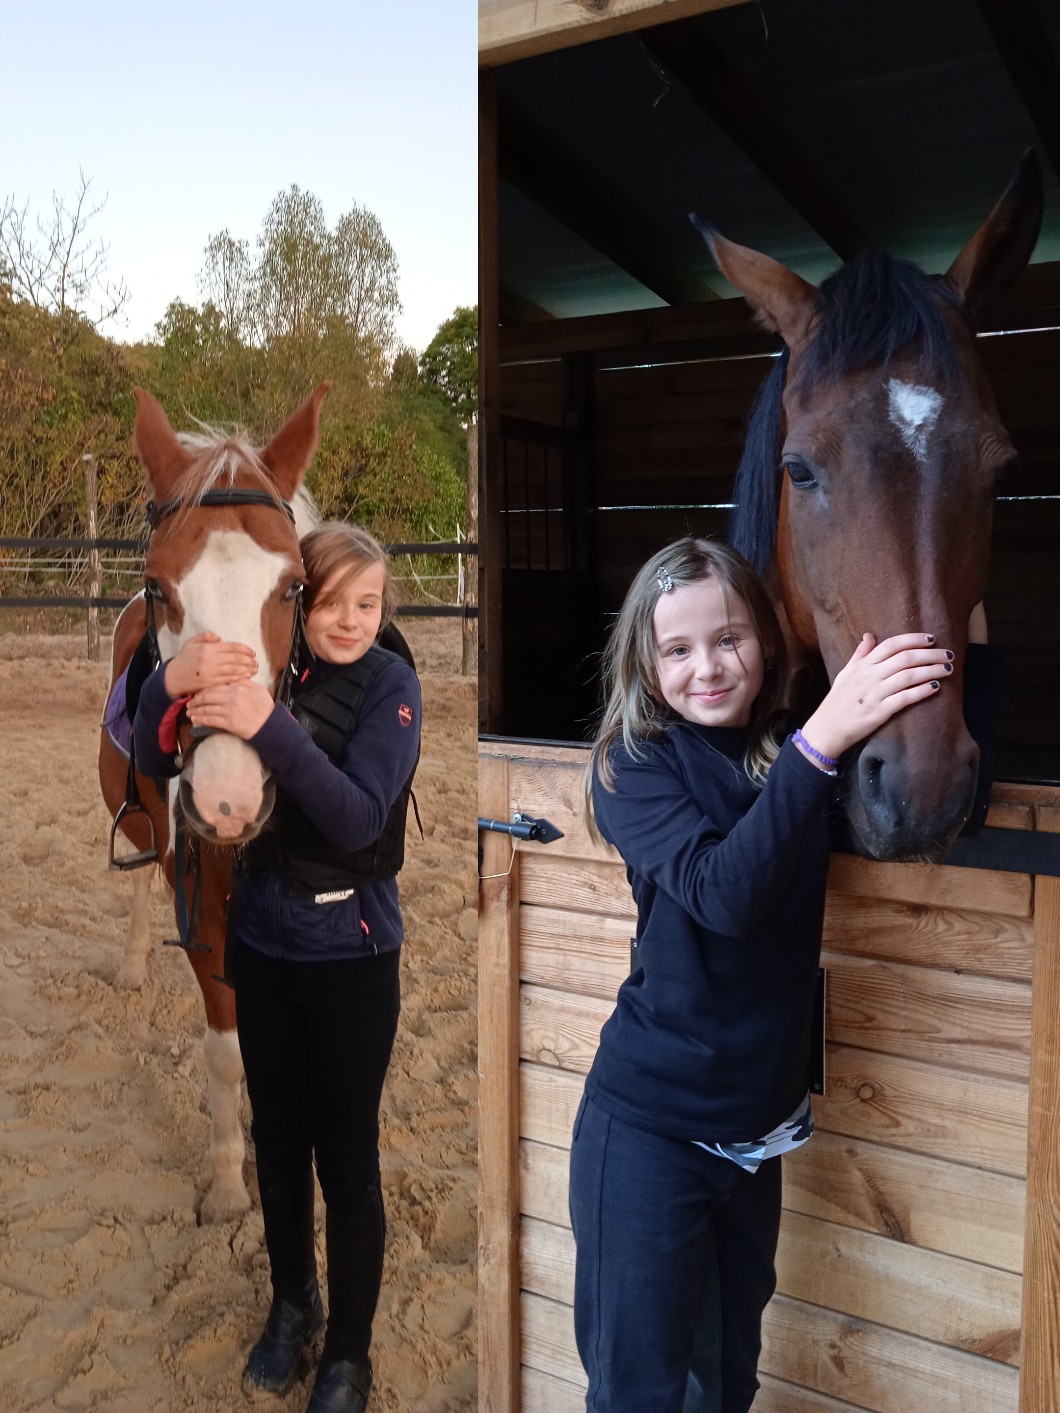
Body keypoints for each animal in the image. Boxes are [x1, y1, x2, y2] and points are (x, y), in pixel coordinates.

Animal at [98, 384, 328, 1221]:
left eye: (293, 587)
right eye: (161, 587)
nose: (227, 799)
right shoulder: (202, 908)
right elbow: (228, 1053)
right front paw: (231, 1186)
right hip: (139, 819)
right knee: (136, 872)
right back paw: (133, 964)